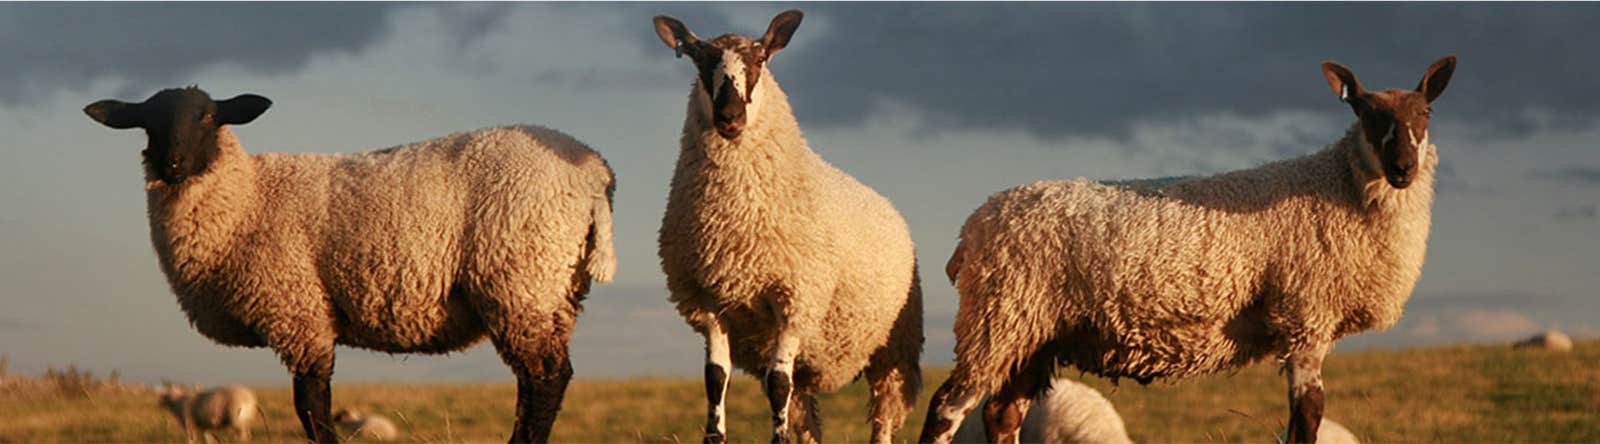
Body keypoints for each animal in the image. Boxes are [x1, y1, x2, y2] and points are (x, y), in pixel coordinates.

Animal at [84, 86, 616, 444]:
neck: (248, 196)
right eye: (147, 121)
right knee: (539, 382)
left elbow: (312, 406)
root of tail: (595, 170)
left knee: (545, 381)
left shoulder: (296, 310)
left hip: (519, 279)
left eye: (209, 115)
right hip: (553, 287)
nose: (172, 162)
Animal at [652, 10, 923, 444]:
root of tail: (890, 206)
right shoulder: (708, 302)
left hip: (894, 349)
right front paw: (715, 435)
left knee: (882, 416)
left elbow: (778, 384)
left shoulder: (795, 300)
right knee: (805, 412)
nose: (729, 118)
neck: (735, 222)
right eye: (698, 59)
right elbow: (715, 379)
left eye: (761, 59)